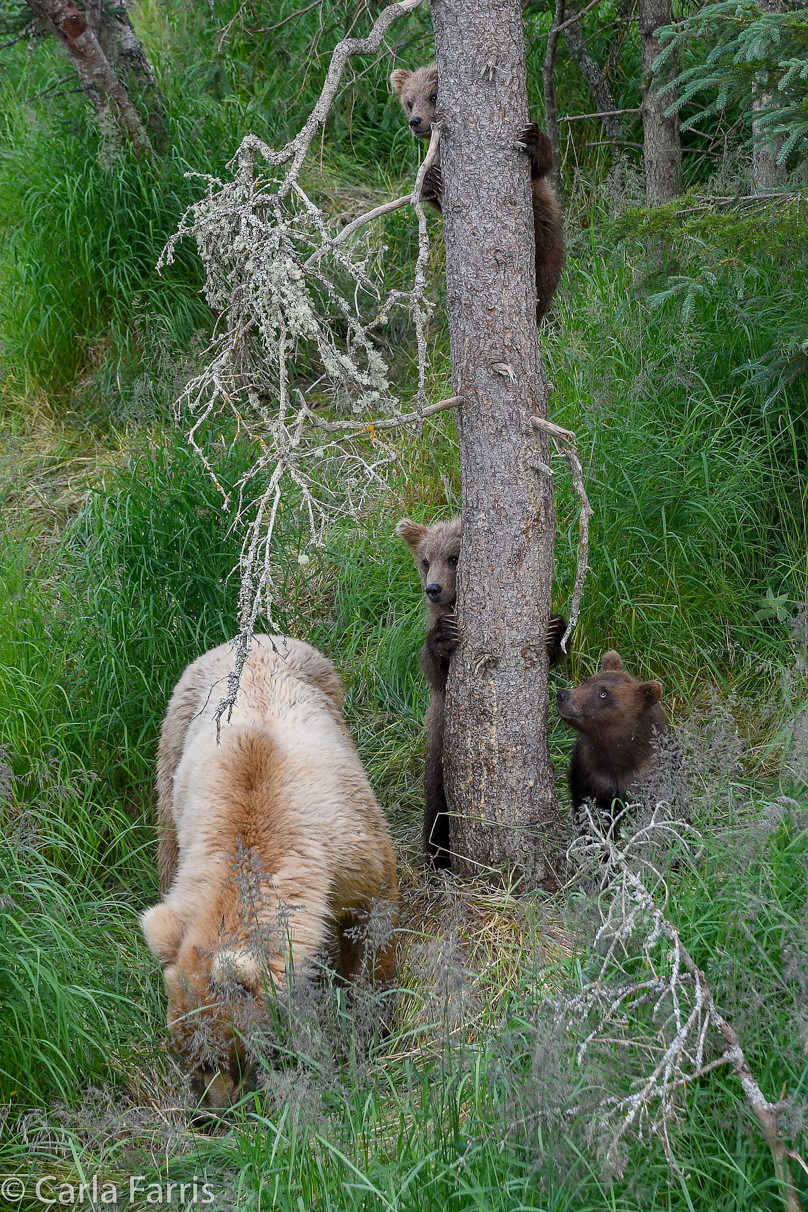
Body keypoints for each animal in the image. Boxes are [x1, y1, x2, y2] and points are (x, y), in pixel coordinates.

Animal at [144, 639, 402, 1110]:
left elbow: (373, 925)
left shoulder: (349, 850)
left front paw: (364, 1024)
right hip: (176, 740)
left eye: (217, 1054)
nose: (206, 1112)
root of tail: (252, 638)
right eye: (181, 1047)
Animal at [390, 65, 566, 322]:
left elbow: (543, 163)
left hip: (546, 239)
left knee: (545, 276)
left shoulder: (537, 187)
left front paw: (532, 137)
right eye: (409, 102)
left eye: (433, 96)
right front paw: (431, 177)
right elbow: (436, 194)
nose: (415, 121)